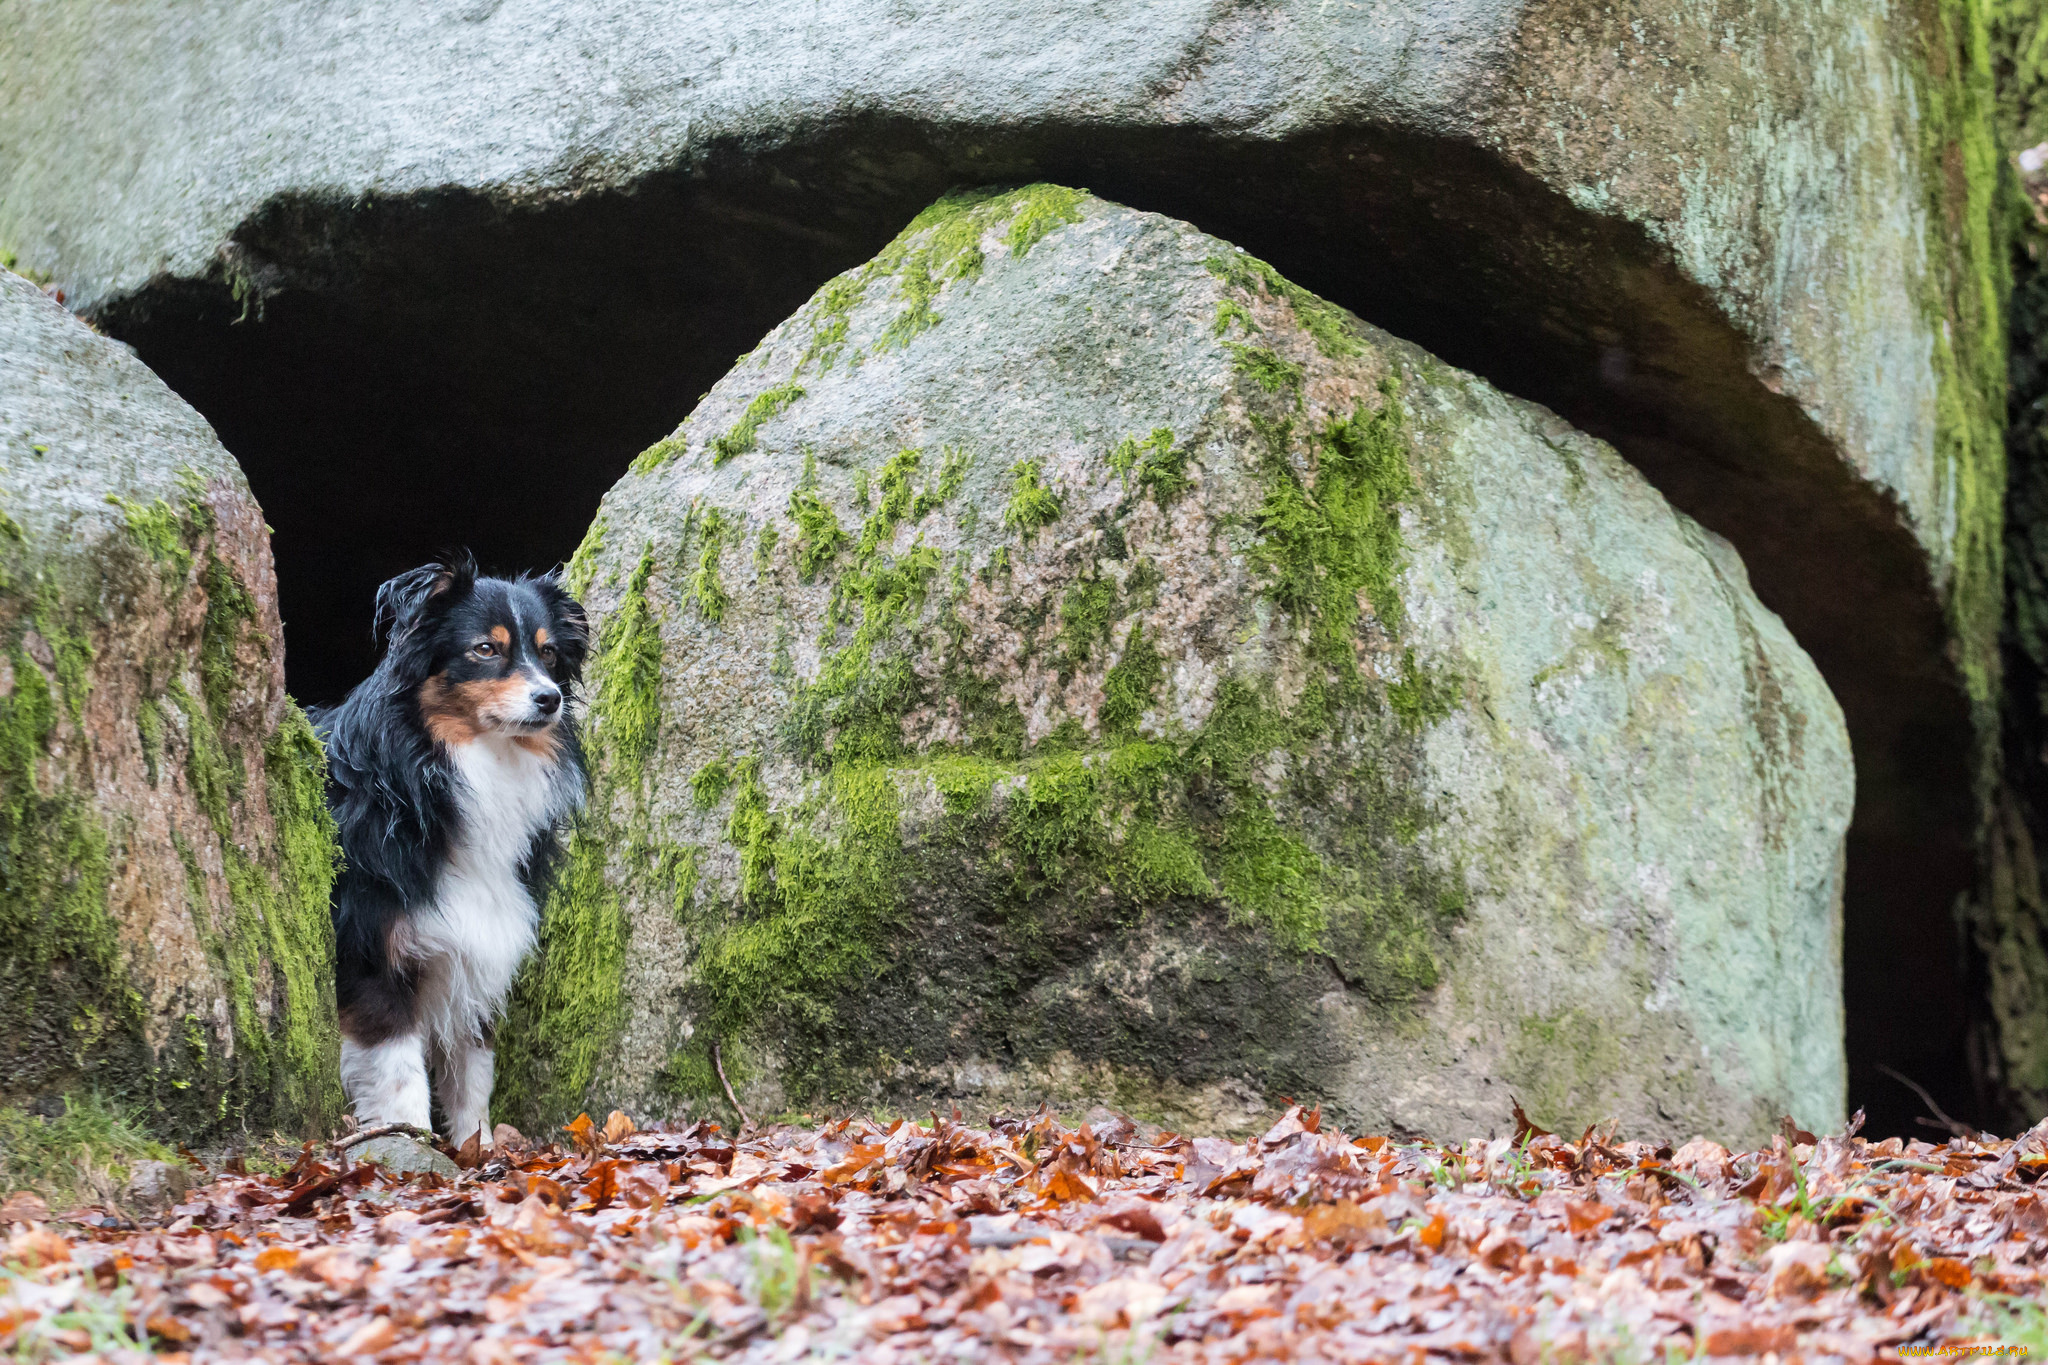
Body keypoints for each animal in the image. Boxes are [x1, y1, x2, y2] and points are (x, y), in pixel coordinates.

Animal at [313, 556, 585, 1154]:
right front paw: (410, 1139)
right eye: (485, 649)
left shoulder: (481, 941)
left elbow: (473, 1069)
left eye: (550, 653)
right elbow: (397, 1065)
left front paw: (476, 1148)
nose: (549, 698)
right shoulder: (370, 947)